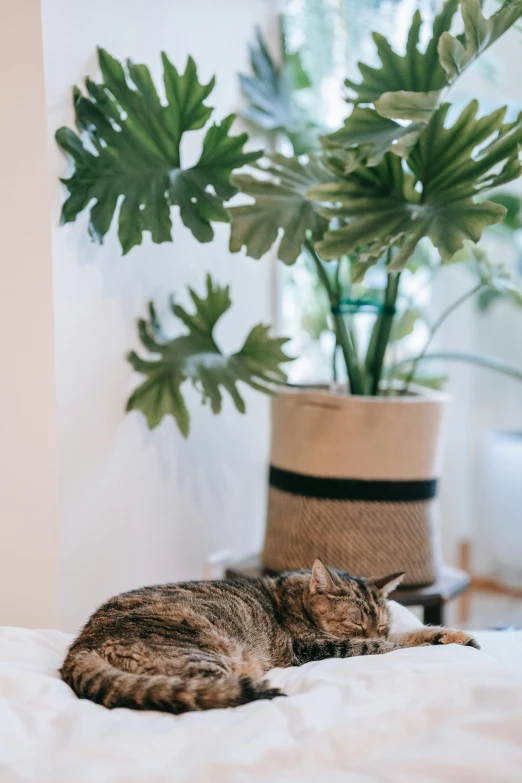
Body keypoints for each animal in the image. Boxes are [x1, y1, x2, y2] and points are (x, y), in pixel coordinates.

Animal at [60, 560, 476, 712]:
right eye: (356, 624)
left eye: (381, 622)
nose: (374, 629)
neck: (296, 597)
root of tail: (79, 648)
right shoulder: (312, 646)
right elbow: (382, 647)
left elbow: (411, 632)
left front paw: (450, 635)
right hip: (203, 653)